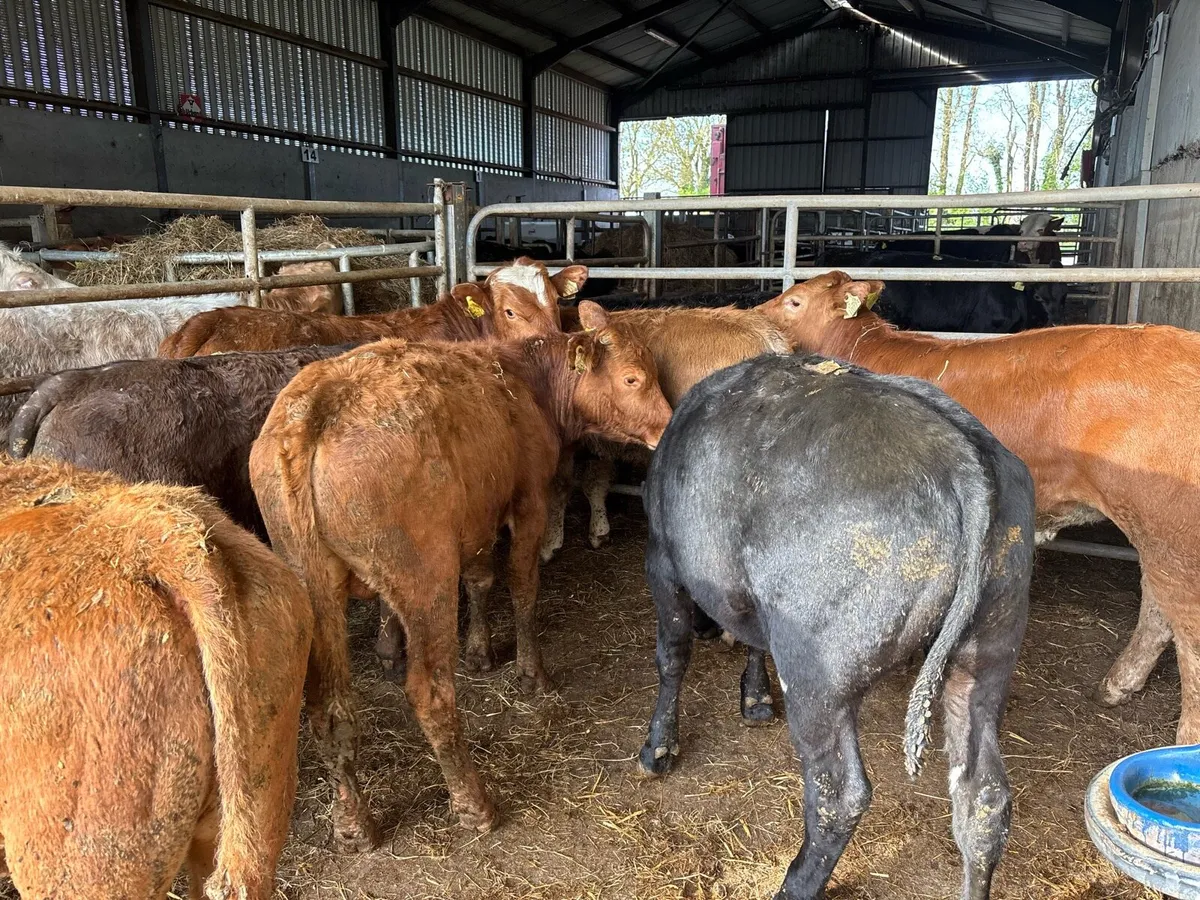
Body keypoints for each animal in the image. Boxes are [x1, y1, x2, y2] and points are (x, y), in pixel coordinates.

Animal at [248, 305, 672, 848]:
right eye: (633, 378)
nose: (667, 426)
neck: (522, 382)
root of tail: (313, 411)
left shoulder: (476, 517)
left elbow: (478, 580)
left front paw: (476, 651)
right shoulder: (528, 500)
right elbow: (522, 586)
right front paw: (531, 672)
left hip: (313, 583)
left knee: (328, 709)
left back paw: (353, 824)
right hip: (424, 578)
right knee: (429, 692)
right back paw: (474, 803)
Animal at [638, 347, 1034, 900]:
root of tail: (960, 455)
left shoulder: (662, 559)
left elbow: (671, 654)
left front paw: (658, 748)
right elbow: (751, 642)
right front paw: (755, 698)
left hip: (818, 677)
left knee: (839, 795)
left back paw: (794, 884)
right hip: (986, 656)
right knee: (984, 799)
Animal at [758, 271, 1200, 743]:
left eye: (794, 301)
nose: (754, 316)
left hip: (1169, 531)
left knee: (1185, 628)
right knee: (1156, 606)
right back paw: (1117, 685)